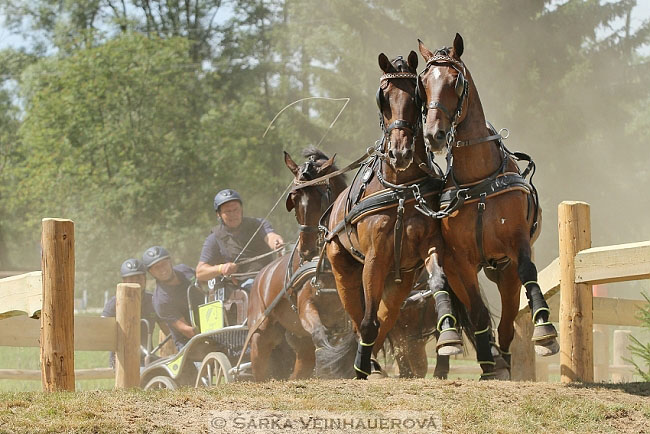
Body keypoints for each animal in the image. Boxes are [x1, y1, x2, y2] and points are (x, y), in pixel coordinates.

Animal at [247, 148, 350, 380]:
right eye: (293, 199)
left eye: (320, 196)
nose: (306, 250)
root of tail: (260, 277)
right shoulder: (306, 307)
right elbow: (321, 335)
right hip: (261, 336)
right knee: (260, 368)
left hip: (299, 341)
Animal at [324, 51, 466, 380]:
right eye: (383, 97)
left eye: (416, 95)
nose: (399, 153)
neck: (401, 190)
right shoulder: (375, 258)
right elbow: (366, 321)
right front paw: (361, 366)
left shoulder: (427, 246)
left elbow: (438, 280)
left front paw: (449, 335)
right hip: (343, 270)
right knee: (359, 318)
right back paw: (363, 363)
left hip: (399, 281)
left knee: (385, 318)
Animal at [418, 34, 560, 376]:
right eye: (423, 82)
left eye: (456, 81)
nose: (434, 135)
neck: (479, 182)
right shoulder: (460, 260)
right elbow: (479, 312)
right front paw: (487, 362)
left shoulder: (517, 244)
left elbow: (528, 273)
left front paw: (545, 332)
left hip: (503, 272)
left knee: (508, 320)